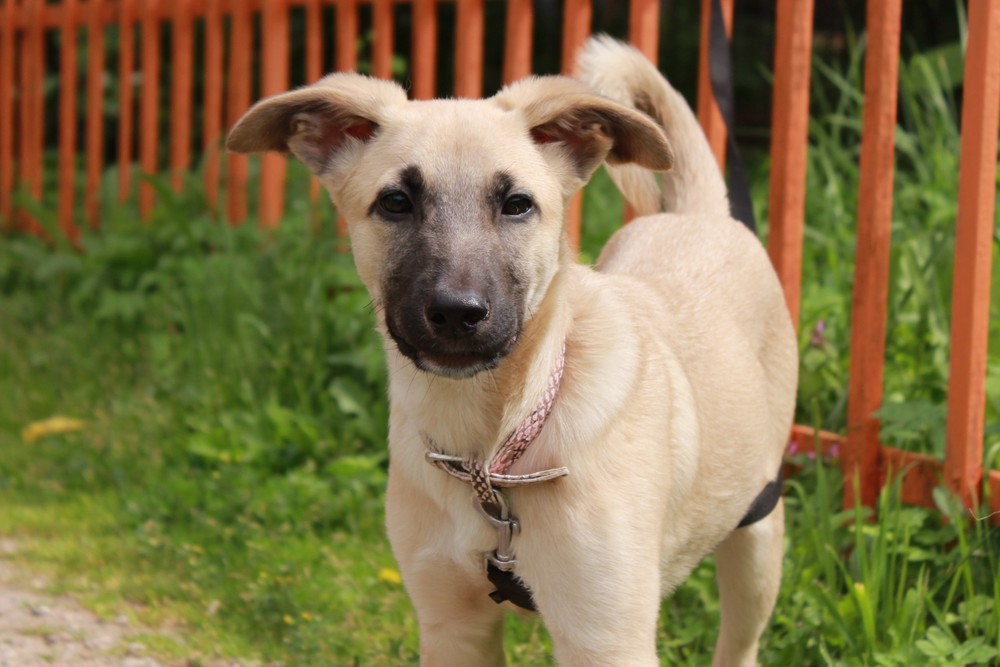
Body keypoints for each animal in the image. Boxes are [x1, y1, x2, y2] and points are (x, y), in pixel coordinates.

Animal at [227, 36, 796, 667]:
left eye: (517, 203)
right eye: (396, 201)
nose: (457, 313)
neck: (496, 450)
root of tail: (697, 216)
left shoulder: (606, 640)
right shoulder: (452, 625)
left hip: (757, 537)